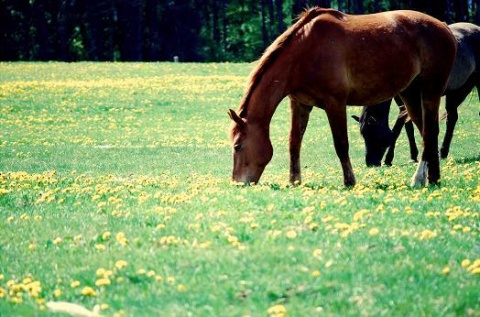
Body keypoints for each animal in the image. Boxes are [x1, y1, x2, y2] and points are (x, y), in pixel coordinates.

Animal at [227, 7, 456, 186]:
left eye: (237, 146)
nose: (238, 182)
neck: (306, 51)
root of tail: (444, 27)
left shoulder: (335, 104)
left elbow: (341, 144)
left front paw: (349, 181)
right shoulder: (300, 104)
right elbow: (294, 143)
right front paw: (294, 181)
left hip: (430, 92)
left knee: (430, 132)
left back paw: (420, 179)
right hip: (409, 95)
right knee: (427, 133)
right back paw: (432, 179)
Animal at [354, 21, 480, 165]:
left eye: (372, 133)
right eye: (363, 134)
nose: (370, 162)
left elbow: (398, 128)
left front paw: (388, 159)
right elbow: (408, 126)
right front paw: (413, 155)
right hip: (457, 91)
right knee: (452, 118)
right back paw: (443, 152)